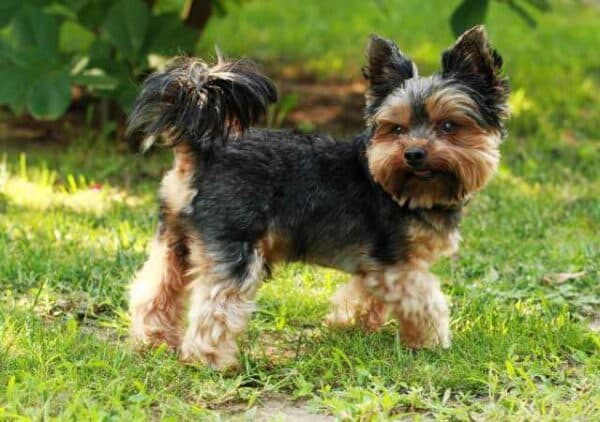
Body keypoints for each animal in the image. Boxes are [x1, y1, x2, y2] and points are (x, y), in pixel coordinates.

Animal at [129, 26, 508, 370]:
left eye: (448, 126)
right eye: (397, 128)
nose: (413, 154)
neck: (402, 188)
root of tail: (203, 150)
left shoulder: (376, 264)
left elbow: (363, 293)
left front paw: (350, 325)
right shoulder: (397, 264)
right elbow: (427, 300)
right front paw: (431, 342)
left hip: (175, 239)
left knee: (155, 289)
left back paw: (153, 340)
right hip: (234, 244)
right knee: (216, 306)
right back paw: (210, 361)